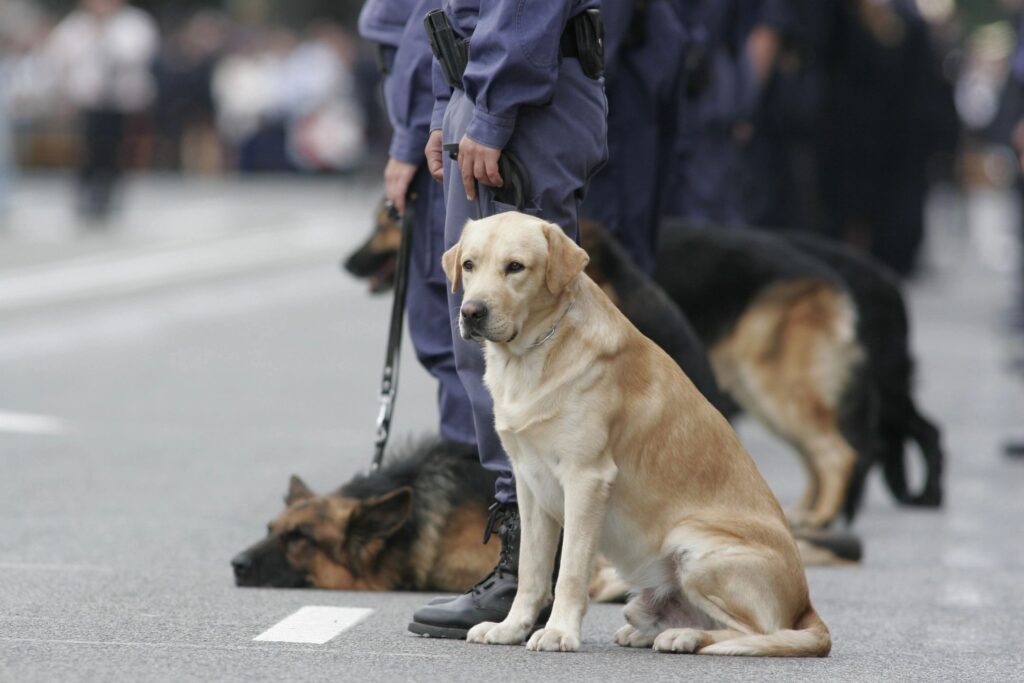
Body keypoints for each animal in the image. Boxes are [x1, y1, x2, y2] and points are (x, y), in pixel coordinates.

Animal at [444, 214, 827, 655]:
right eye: (469, 265)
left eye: (515, 267)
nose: (472, 312)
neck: (533, 355)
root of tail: (806, 605)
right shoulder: (529, 482)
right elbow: (531, 570)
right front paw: (510, 627)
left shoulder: (586, 479)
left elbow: (570, 570)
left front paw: (558, 632)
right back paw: (654, 630)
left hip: (695, 545)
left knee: (758, 632)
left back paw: (684, 636)